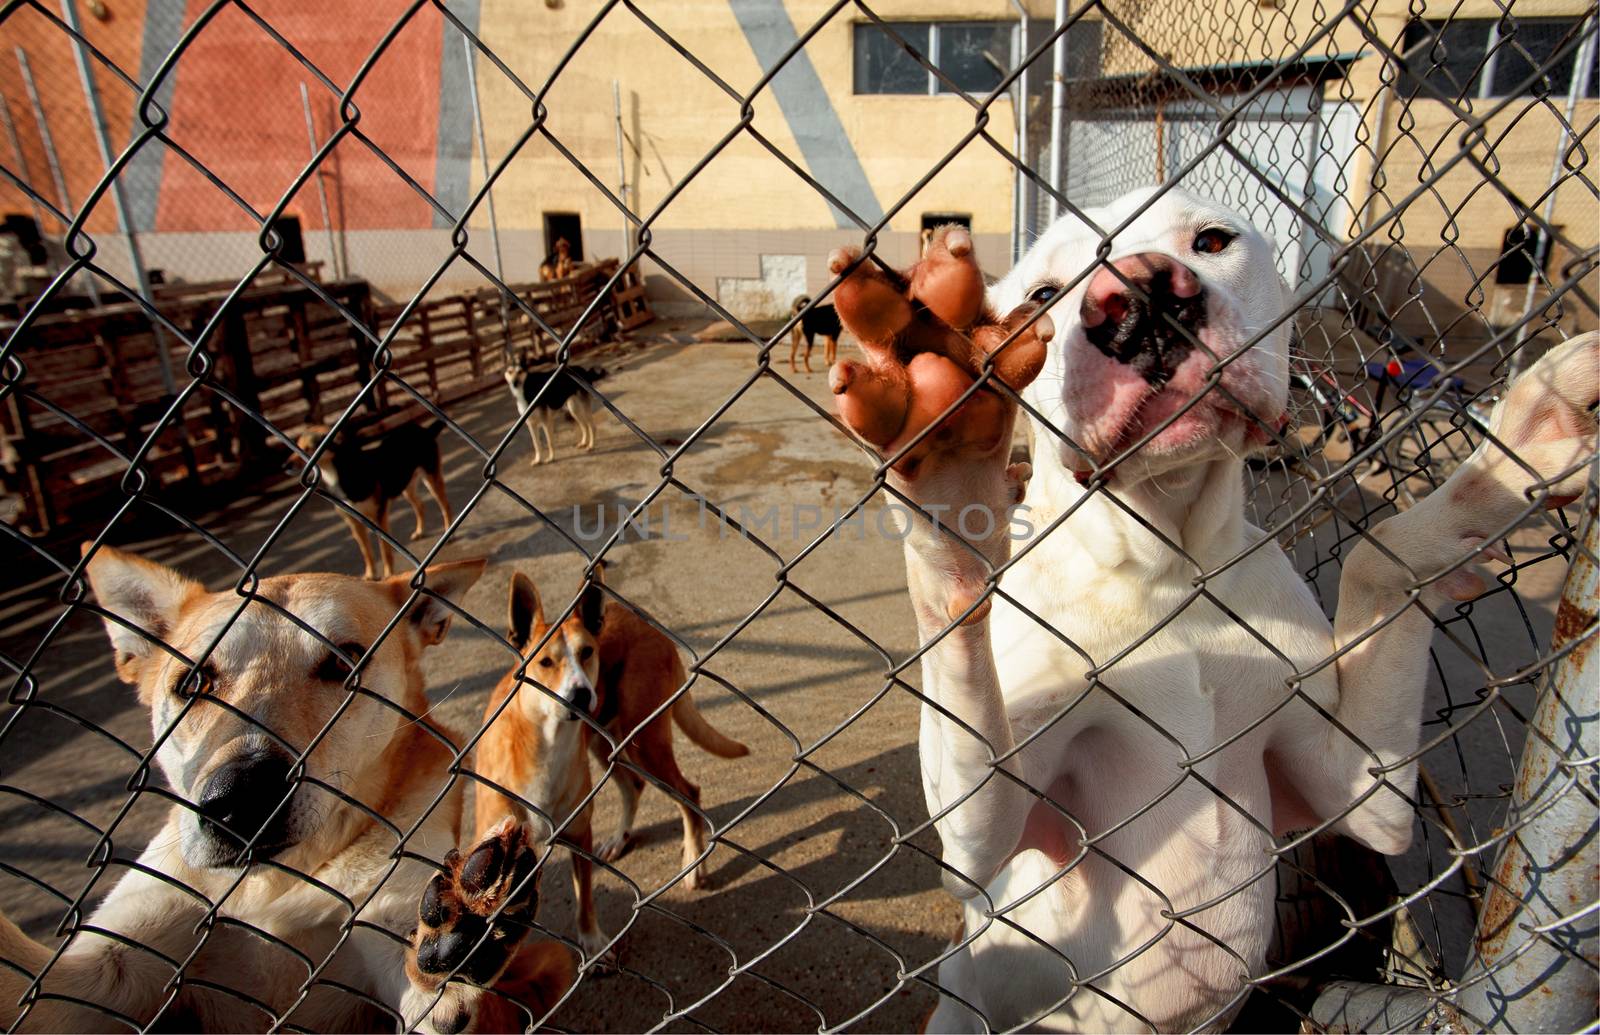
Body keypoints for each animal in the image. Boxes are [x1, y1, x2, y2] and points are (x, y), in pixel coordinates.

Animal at [0, 547, 576, 1030]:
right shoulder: (93, 977)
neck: (274, 885)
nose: (240, 801)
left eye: (344, 663)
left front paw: (459, 939)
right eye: (192, 683)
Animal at [296, 422, 454, 582]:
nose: (288, 465)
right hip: (406, 486)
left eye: (309, 448)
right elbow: (366, 551)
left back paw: (449, 532)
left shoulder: (379, 516)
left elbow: (384, 550)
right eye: (298, 445)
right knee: (420, 505)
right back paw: (420, 531)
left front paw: (389, 574)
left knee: (445, 506)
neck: (341, 473)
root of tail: (424, 429)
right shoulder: (354, 522)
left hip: (432, 479)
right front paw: (370, 574)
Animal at [473, 566, 748, 966]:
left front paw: (592, 944)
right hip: (607, 745)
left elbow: (584, 902)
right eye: (545, 662)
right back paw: (621, 839)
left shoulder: (578, 834)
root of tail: (645, 621)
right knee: (633, 786)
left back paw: (695, 865)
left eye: (587, 652)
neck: (546, 744)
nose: (581, 694)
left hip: (646, 740)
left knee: (688, 793)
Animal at [825, 190, 1600, 1030]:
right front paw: (950, 456)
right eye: (1044, 293)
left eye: (1212, 240)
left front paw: (1521, 441)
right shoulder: (982, 849)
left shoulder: (1361, 795)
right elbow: (972, 796)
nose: (1141, 297)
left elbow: (1379, 552)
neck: (1169, 567)